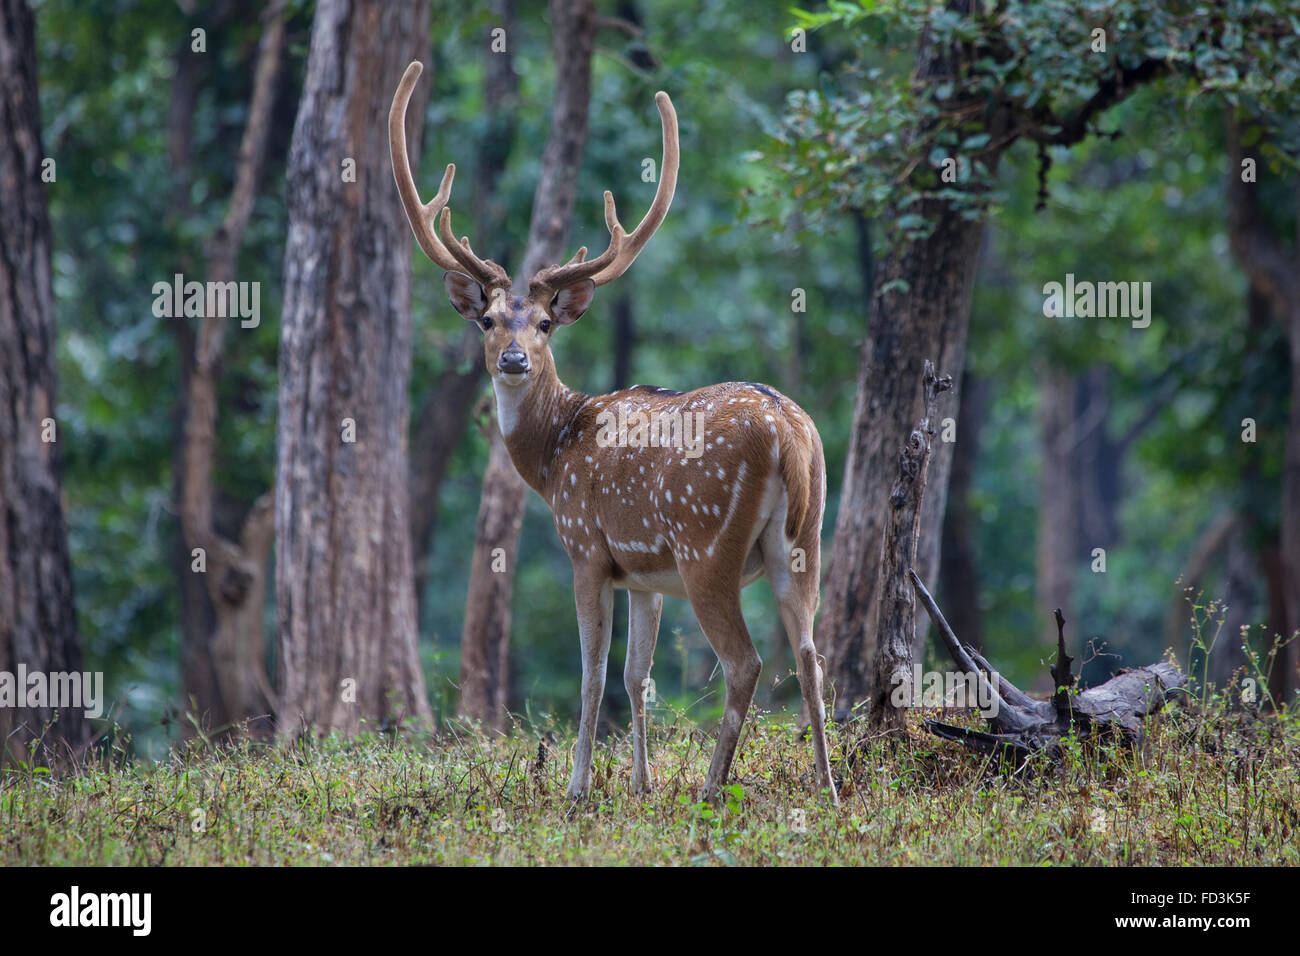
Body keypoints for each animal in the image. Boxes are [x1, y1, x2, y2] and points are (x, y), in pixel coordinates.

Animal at [389, 61, 837, 806]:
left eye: (545, 324)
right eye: (489, 321)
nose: (514, 360)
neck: (552, 455)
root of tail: (789, 435)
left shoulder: (588, 547)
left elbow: (594, 673)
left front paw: (577, 787)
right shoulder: (645, 573)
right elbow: (638, 675)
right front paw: (641, 783)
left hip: (706, 545)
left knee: (745, 662)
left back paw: (713, 787)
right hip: (804, 540)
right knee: (809, 652)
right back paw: (828, 788)